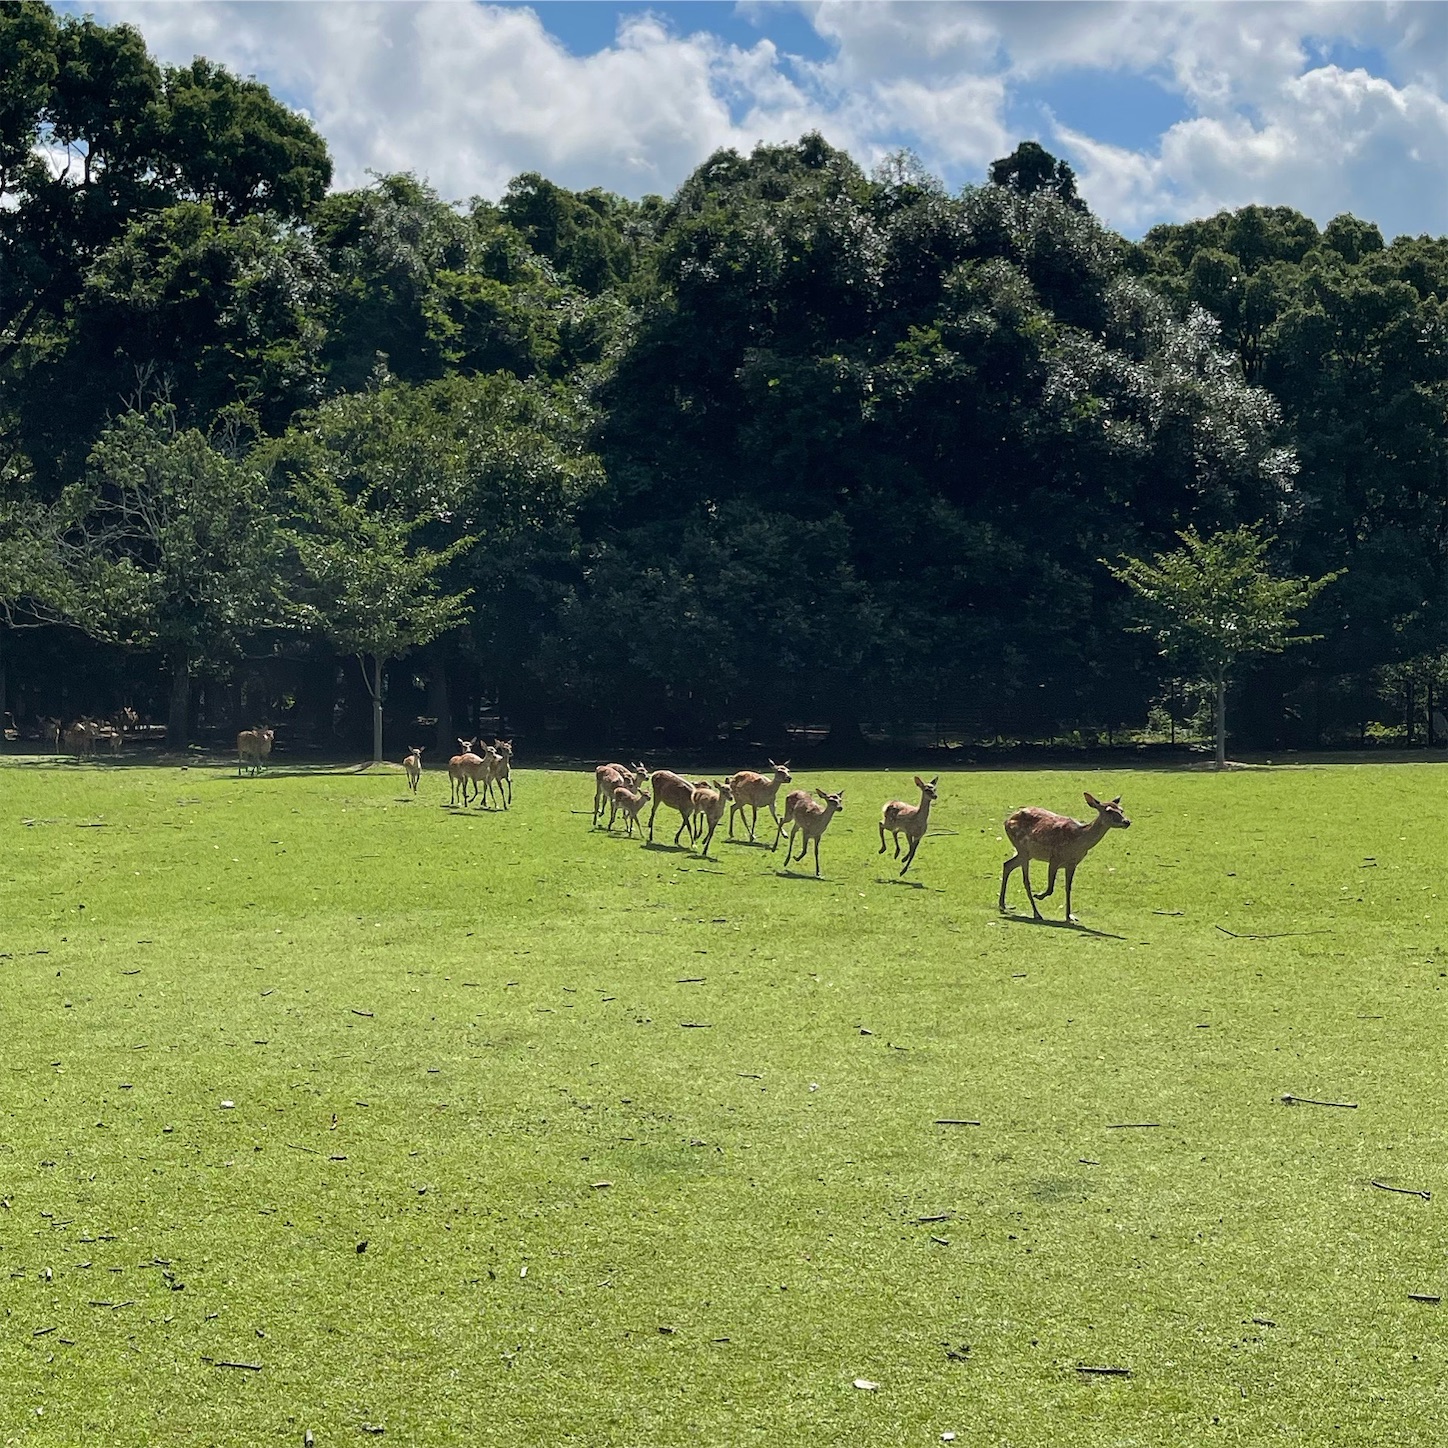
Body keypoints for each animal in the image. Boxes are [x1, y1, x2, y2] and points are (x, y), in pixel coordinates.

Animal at [996, 799, 1129, 920]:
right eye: (1109, 811)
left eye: (1121, 810)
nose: (1127, 821)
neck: (1077, 840)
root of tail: (1007, 821)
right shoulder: (1055, 857)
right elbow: (1050, 888)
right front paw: (1039, 895)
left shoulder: (1072, 863)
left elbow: (1068, 888)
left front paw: (1069, 916)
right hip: (1022, 848)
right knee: (1025, 880)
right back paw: (1036, 913)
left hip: (1027, 853)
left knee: (1007, 864)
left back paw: (1002, 905)